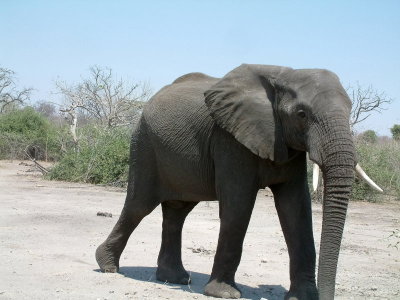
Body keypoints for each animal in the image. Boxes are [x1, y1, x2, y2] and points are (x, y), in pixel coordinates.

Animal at [96, 65, 382, 300]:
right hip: (144, 145)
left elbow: (296, 209)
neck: (283, 75)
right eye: (302, 114)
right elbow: (238, 205)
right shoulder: (230, 139)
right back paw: (107, 266)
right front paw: (223, 294)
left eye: (349, 110)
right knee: (139, 206)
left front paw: (303, 297)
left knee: (178, 212)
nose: (325, 296)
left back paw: (175, 279)